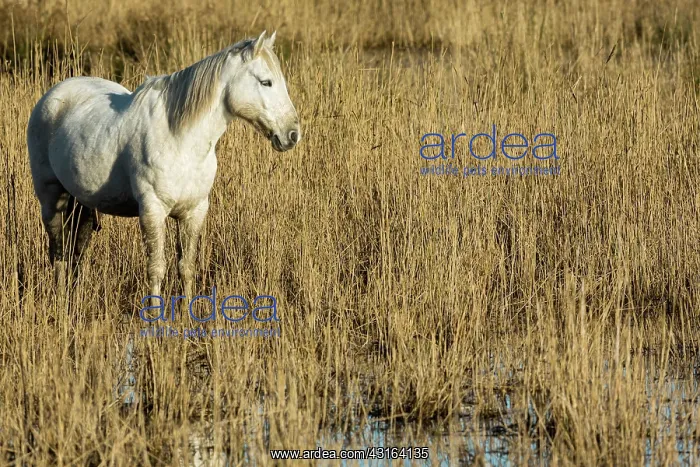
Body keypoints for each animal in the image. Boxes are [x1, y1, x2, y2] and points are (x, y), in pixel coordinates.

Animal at [27, 31, 301, 300]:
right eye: (266, 82)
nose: (293, 134)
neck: (181, 140)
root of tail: (52, 97)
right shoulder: (153, 210)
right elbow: (156, 268)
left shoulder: (194, 212)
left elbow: (186, 267)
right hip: (51, 199)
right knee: (58, 252)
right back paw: (61, 300)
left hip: (82, 202)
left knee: (76, 250)